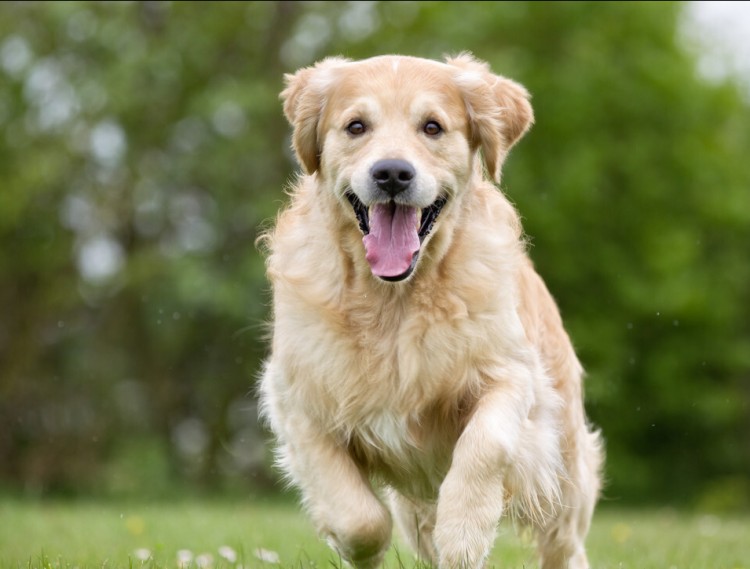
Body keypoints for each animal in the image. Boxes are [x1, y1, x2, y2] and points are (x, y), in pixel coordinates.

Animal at [262, 54, 604, 568]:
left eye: (432, 127)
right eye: (356, 126)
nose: (391, 173)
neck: (395, 300)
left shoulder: (512, 374)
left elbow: (485, 444)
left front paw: (463, 533)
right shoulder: (297, 399)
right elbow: (358, 518)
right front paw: (357, 546)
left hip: (564, 464)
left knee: (564, 542)